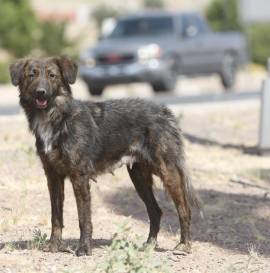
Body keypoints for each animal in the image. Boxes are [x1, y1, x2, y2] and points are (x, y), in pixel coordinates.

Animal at [9, 55, 200, 255]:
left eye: (52, 75)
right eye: (31, 75)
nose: (41, 93)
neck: (56, 118)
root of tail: (164, 111)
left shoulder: (79, 176)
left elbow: (83, 218)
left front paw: (84, 248)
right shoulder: (53, 176)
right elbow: (56, 216)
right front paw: (54, 245)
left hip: (168, 172)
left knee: (184, 209)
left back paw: (184, 245)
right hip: (139, 177)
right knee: (156, 211)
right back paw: (149, 245)